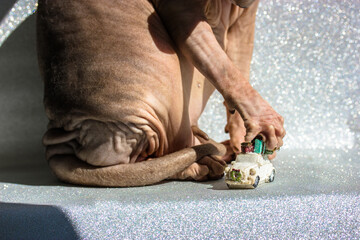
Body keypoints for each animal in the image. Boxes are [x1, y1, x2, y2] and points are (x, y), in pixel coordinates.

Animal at [35, 0, 284, 188]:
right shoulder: (181, 12)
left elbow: (239, 63)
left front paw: (243, 138)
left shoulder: (245, 17)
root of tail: (64, 133)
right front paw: (265, 123)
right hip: (165, 81)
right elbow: (221, 64)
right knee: (171, 150)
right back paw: (207, 163)